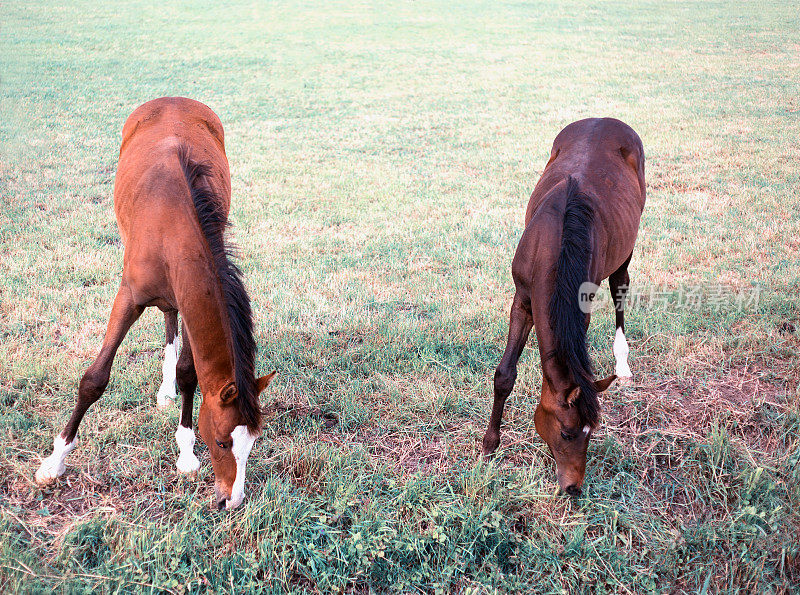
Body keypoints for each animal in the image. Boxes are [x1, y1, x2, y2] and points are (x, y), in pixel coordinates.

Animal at [35, 96, 276, 508]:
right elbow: (94, 380)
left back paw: (167, 388)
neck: (171, 223)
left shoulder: (192, 301)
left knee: (170, 319)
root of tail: (174, 98)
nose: (232, 500)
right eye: (222, 442)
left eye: (252, 444)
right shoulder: (128, 299)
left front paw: (185, 452)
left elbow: (189, 372)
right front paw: (54, 461)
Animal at [482, 118, 644, 496]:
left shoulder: (580, 307)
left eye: (592, 432)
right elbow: (504, 375)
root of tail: (603, 119)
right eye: (568, 433)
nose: (574, 488)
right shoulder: (523, 299)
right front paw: (489, 445)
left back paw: (622, 363)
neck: (554, 246)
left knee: (620, 287)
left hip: (627, 246)